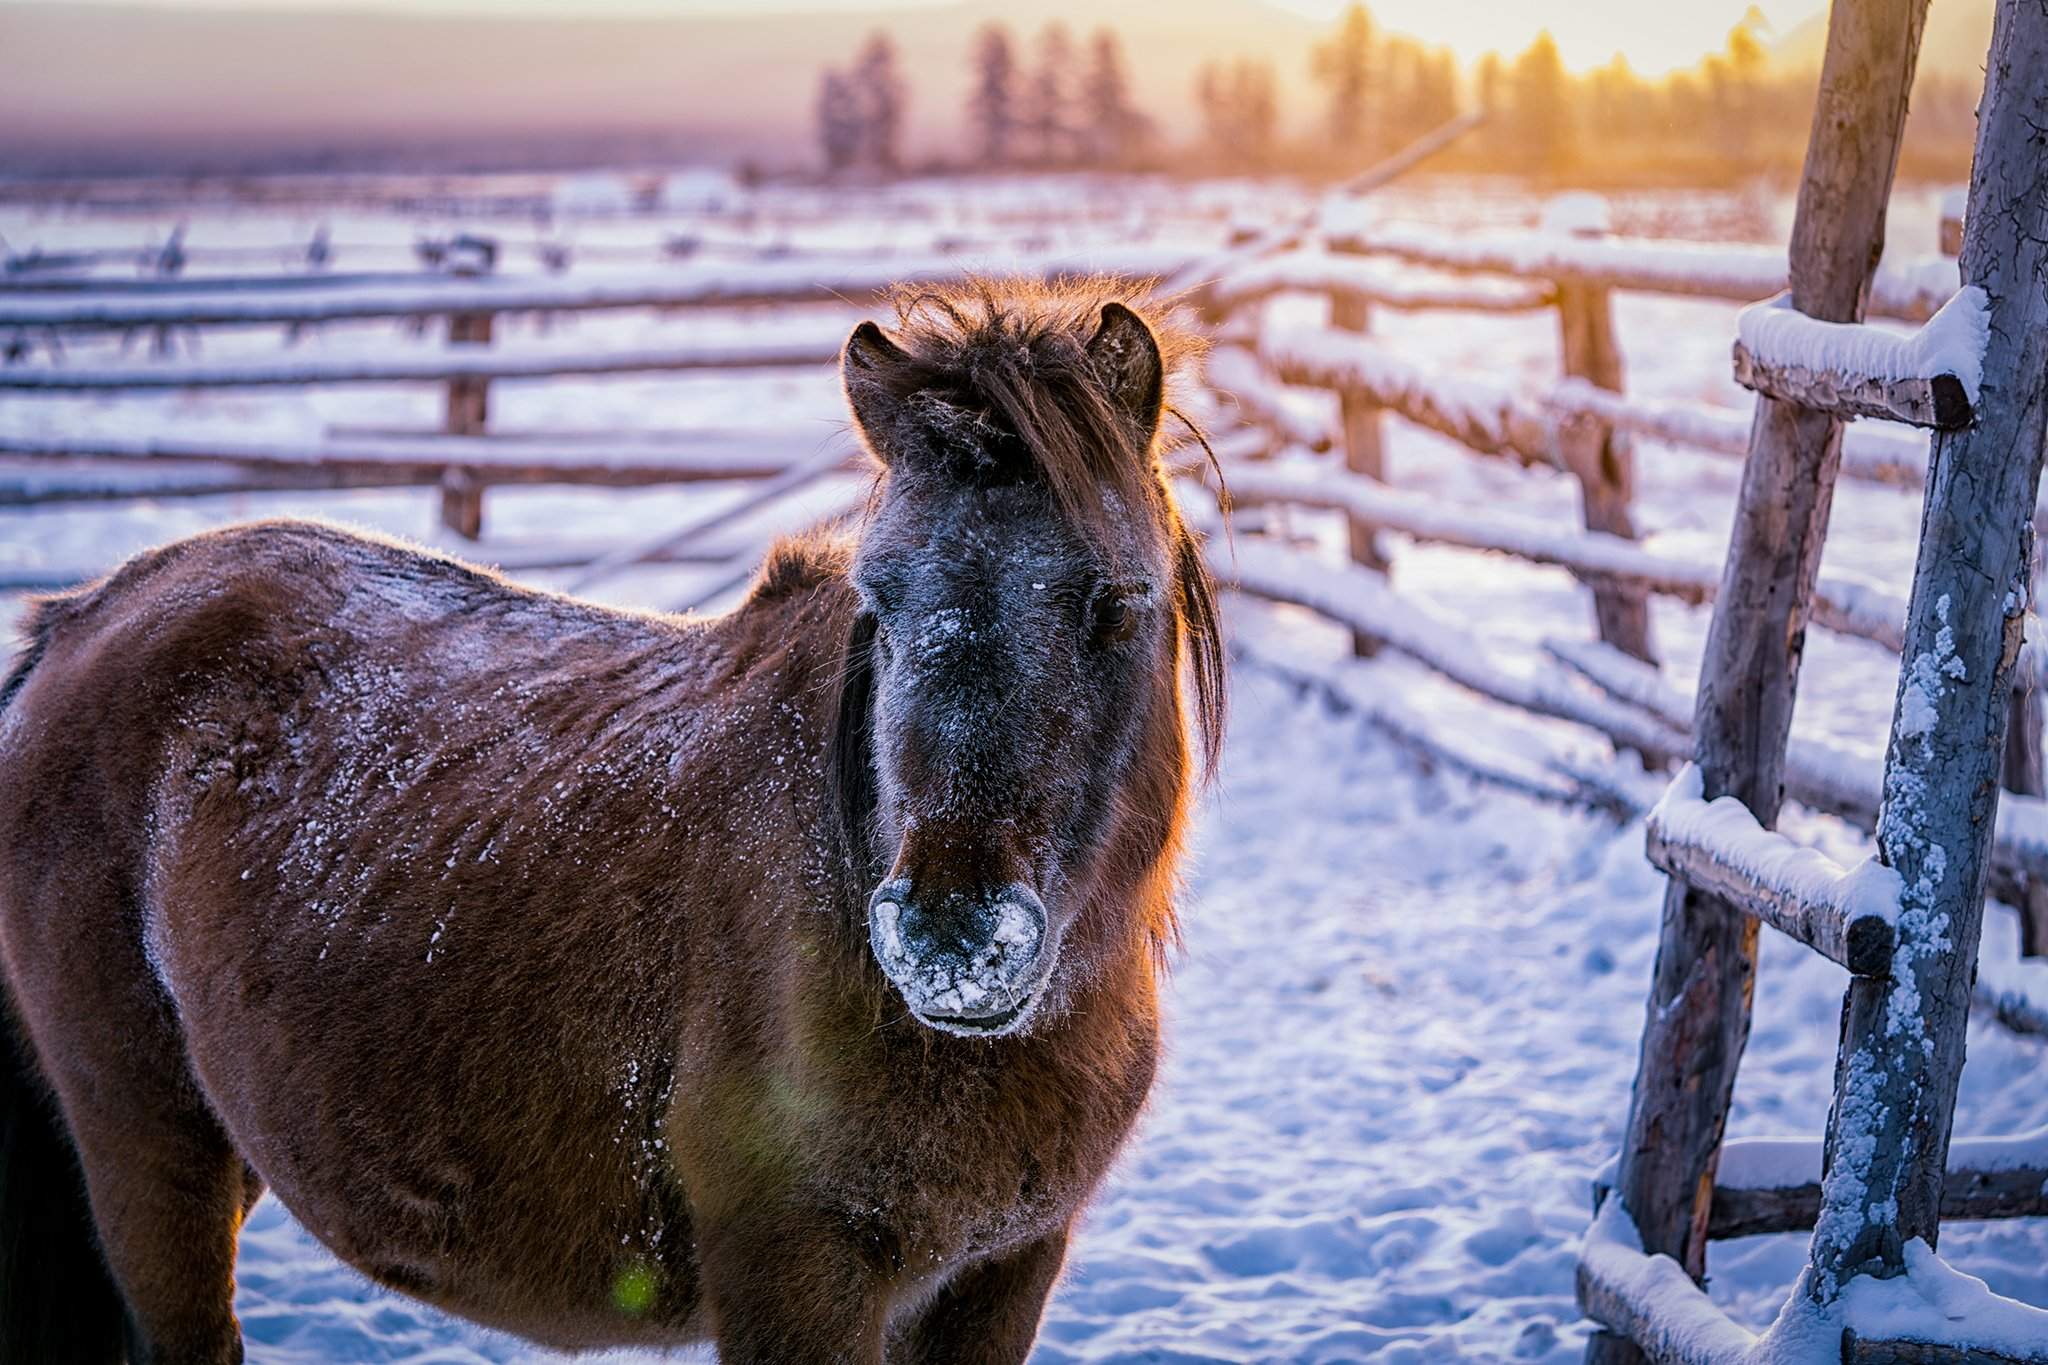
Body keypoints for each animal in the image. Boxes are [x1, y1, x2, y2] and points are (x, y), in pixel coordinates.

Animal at [0, 282, 1212, 1365]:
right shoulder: (795, 1273)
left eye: (1115, 604)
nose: (949, 941)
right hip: (149, 1146)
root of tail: (77, 621)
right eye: (882, 598)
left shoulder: (1005, 1268)